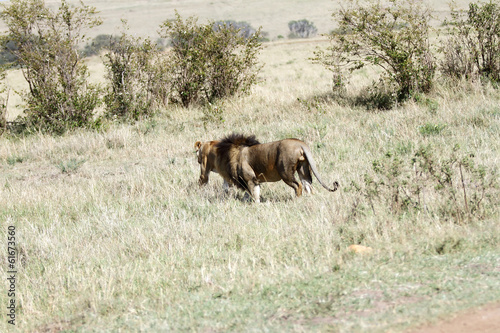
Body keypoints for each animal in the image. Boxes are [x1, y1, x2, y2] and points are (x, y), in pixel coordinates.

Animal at [196, 133, 340, 201]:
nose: (199, 161)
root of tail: (300, 143)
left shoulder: (250, 178)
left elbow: (254, 195)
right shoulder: (252, 181)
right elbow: (251, 194)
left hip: (285, 173)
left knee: (298, 186)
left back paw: (297, 201)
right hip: (303, 170)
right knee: (308, 186)